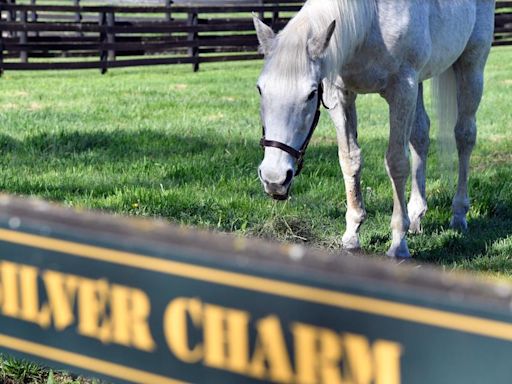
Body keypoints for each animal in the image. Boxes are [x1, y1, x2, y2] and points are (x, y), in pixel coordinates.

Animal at [255, 0, 496, 258]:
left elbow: (396, 162)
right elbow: (349, 160)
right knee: (420, 136)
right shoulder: (341, 95)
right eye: (260, 89)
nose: (274, 179)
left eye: (311, 94)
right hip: (420, 81)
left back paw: (458, 214)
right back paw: (416, 216)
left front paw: (398, 244)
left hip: (471, 66)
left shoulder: (402, 89)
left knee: (464, 136)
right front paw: (352, 235)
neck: (371, 22)